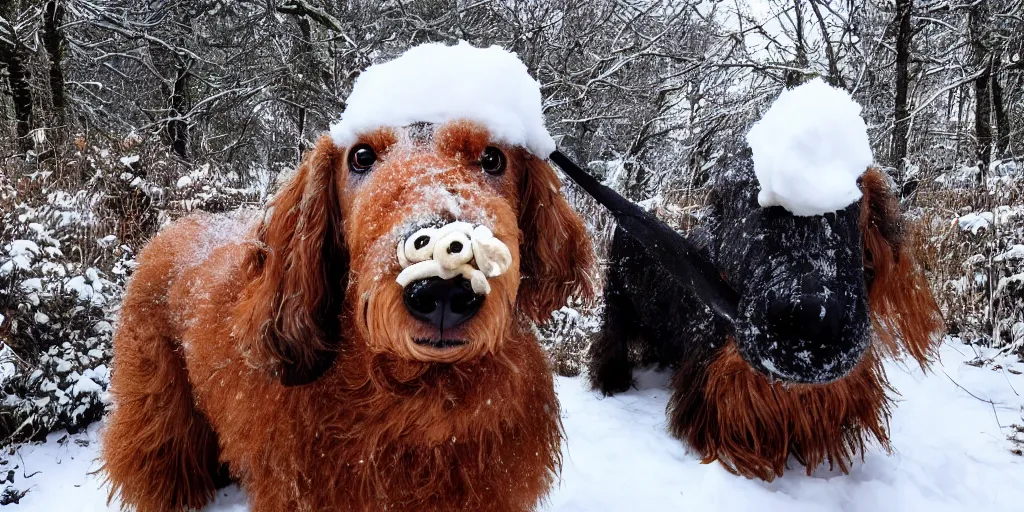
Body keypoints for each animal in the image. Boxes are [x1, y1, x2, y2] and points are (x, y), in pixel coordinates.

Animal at [99, 121, 598, 509]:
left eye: (493, 159)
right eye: (360, 156)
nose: (441, 289)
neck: (416, 396)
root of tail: (174, 226)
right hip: (159, 413)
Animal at [593, 149, 942, 481]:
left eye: (853, 210)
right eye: (749, 203)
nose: (811, 322)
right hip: (617, 301)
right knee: (611, 340)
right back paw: (612, 382)